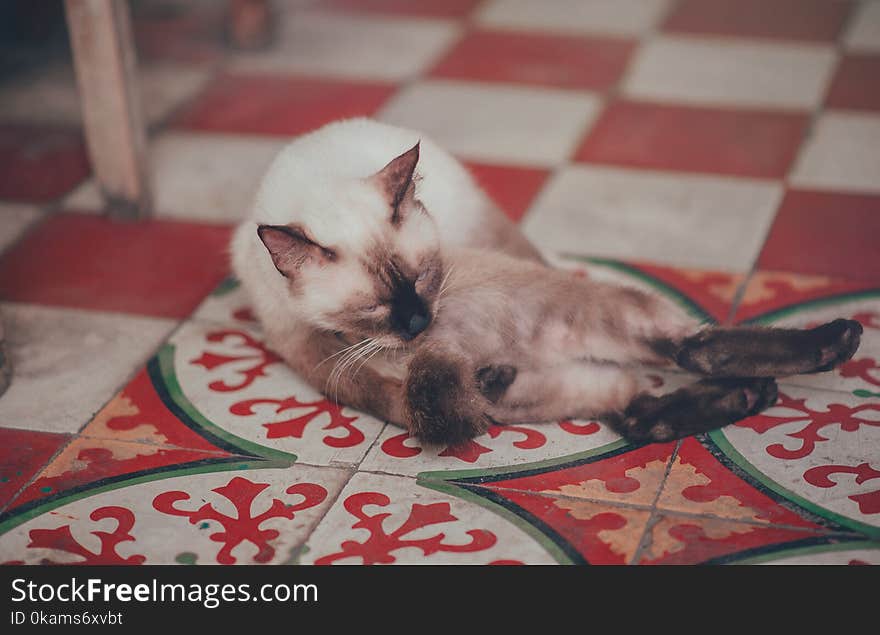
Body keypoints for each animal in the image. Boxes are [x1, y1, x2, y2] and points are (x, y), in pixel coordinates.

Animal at [230, 119, 864, 448]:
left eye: (426, 277)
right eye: (376, 307)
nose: (419, 323)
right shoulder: (322, 354)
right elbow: (413, 397)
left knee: (685, 354)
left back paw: (833, 343)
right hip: (560, 384)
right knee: (647, 397)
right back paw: (769, 383)